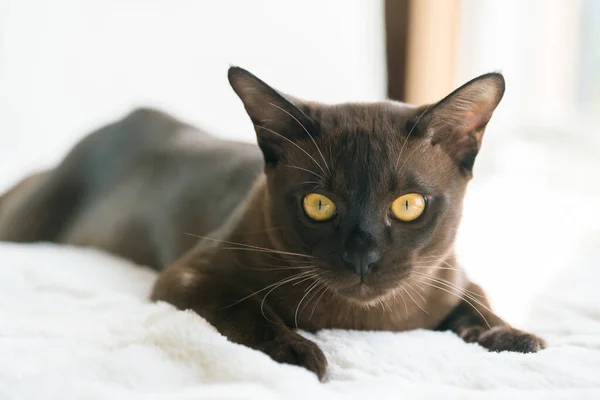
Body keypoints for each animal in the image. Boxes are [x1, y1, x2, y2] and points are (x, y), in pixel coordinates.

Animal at [0, 67, 544, 380]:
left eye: (408, 205)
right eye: (319, 205)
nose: (362, 258)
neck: (363, 322)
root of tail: (127, 117)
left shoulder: (455, 280)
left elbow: (480, 309)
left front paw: (516, 340)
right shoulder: (189, 277)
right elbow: (248, 310)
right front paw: (301, 354)